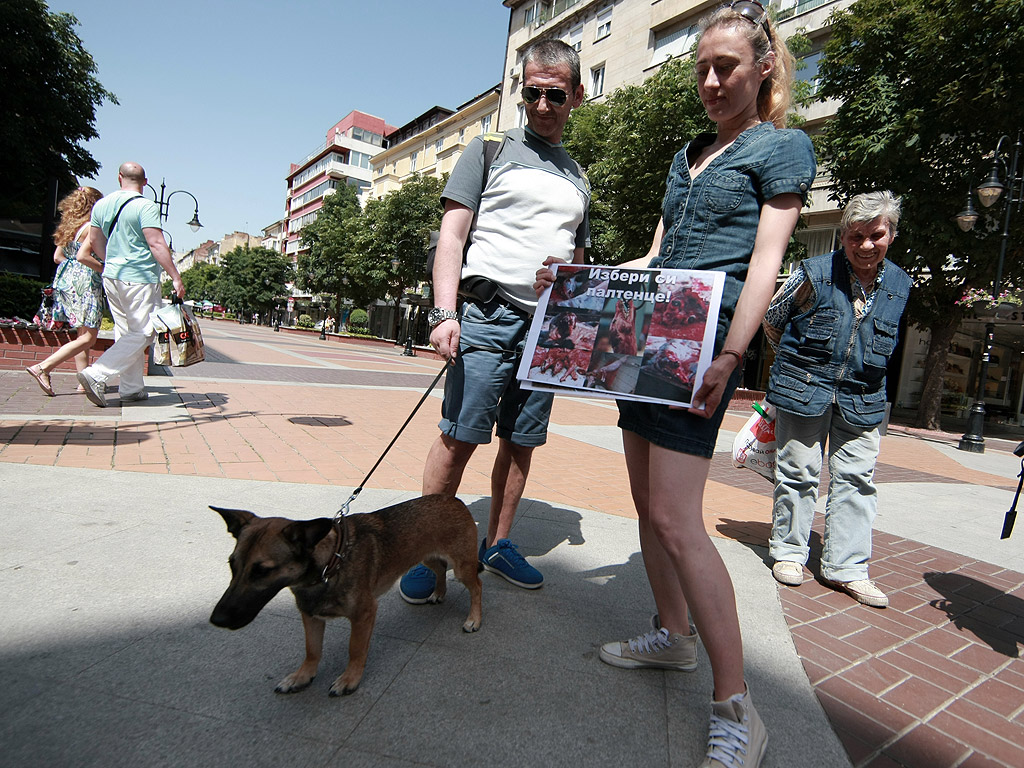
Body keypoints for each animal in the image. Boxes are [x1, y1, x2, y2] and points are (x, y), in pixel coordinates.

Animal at [208, 495, 483, 700]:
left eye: (262, 571)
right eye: (232, 565)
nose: (217, 620)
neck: (331, 562)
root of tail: (453, 499)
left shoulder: (363, 615)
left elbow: (355, 649)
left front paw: (350, 679)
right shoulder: (310, 616)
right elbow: (312, 650)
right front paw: (302, 676)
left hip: (462, 567)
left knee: (476, 586)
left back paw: (474, 619)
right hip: (425, 556)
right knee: (439, 569)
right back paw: (438, 592)